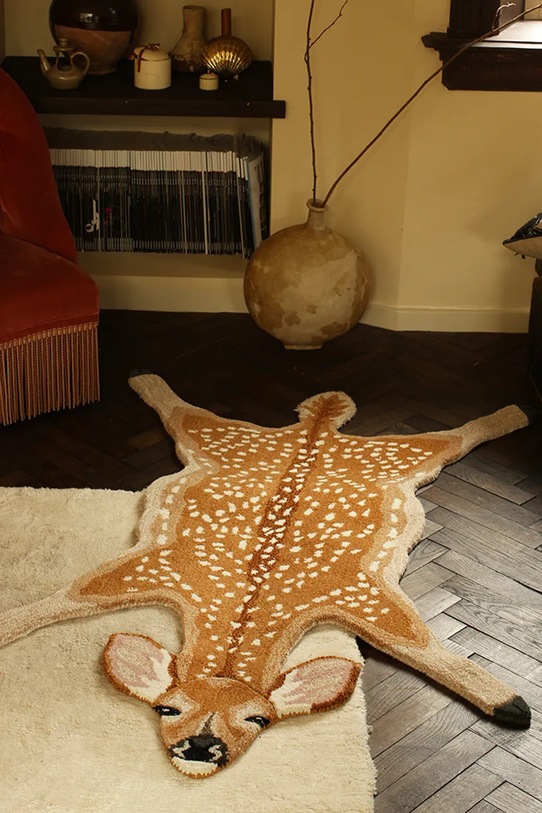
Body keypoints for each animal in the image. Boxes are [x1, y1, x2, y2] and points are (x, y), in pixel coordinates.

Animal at [0, 373, 534, 778]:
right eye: (167, 708)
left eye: (260, 720)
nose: (200, 747)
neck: (244, 612)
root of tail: (315, 430)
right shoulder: (152, 566)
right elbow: (65, 598)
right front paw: (8, 624)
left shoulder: (362, 595)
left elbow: (428, 650)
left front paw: (509, 703)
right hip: (223, 438)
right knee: (183, 412)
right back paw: (145, 379)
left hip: (405, 456)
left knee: (456, 435)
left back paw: (515, 413)